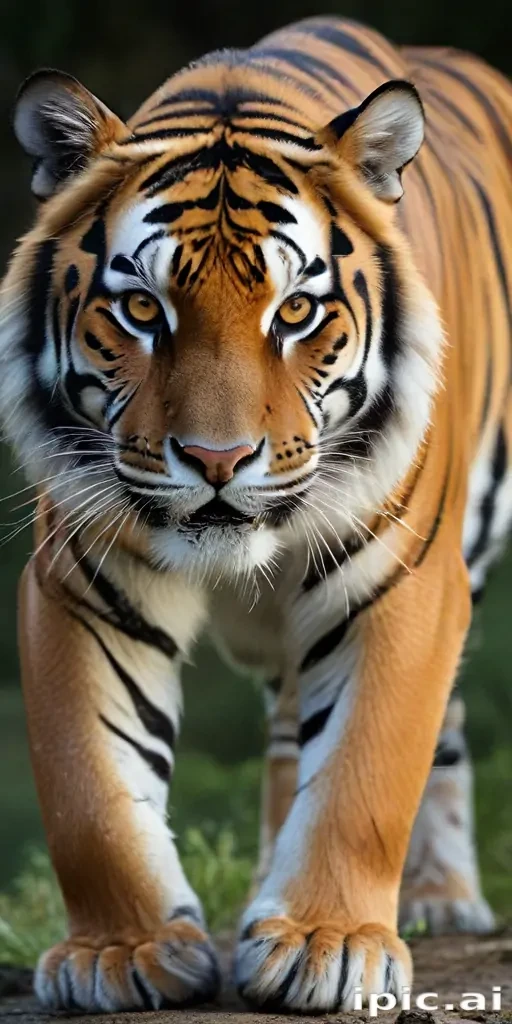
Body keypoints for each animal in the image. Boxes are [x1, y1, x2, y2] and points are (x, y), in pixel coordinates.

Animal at [0, 12, 510, 1015]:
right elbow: (90, 786)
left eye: (298, 311)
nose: (216, 461)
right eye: (142, 308)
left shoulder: (404, 581)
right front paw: (124, 951)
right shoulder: (78, 582)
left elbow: (363, 772)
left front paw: (329, 942)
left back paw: (440, 897)